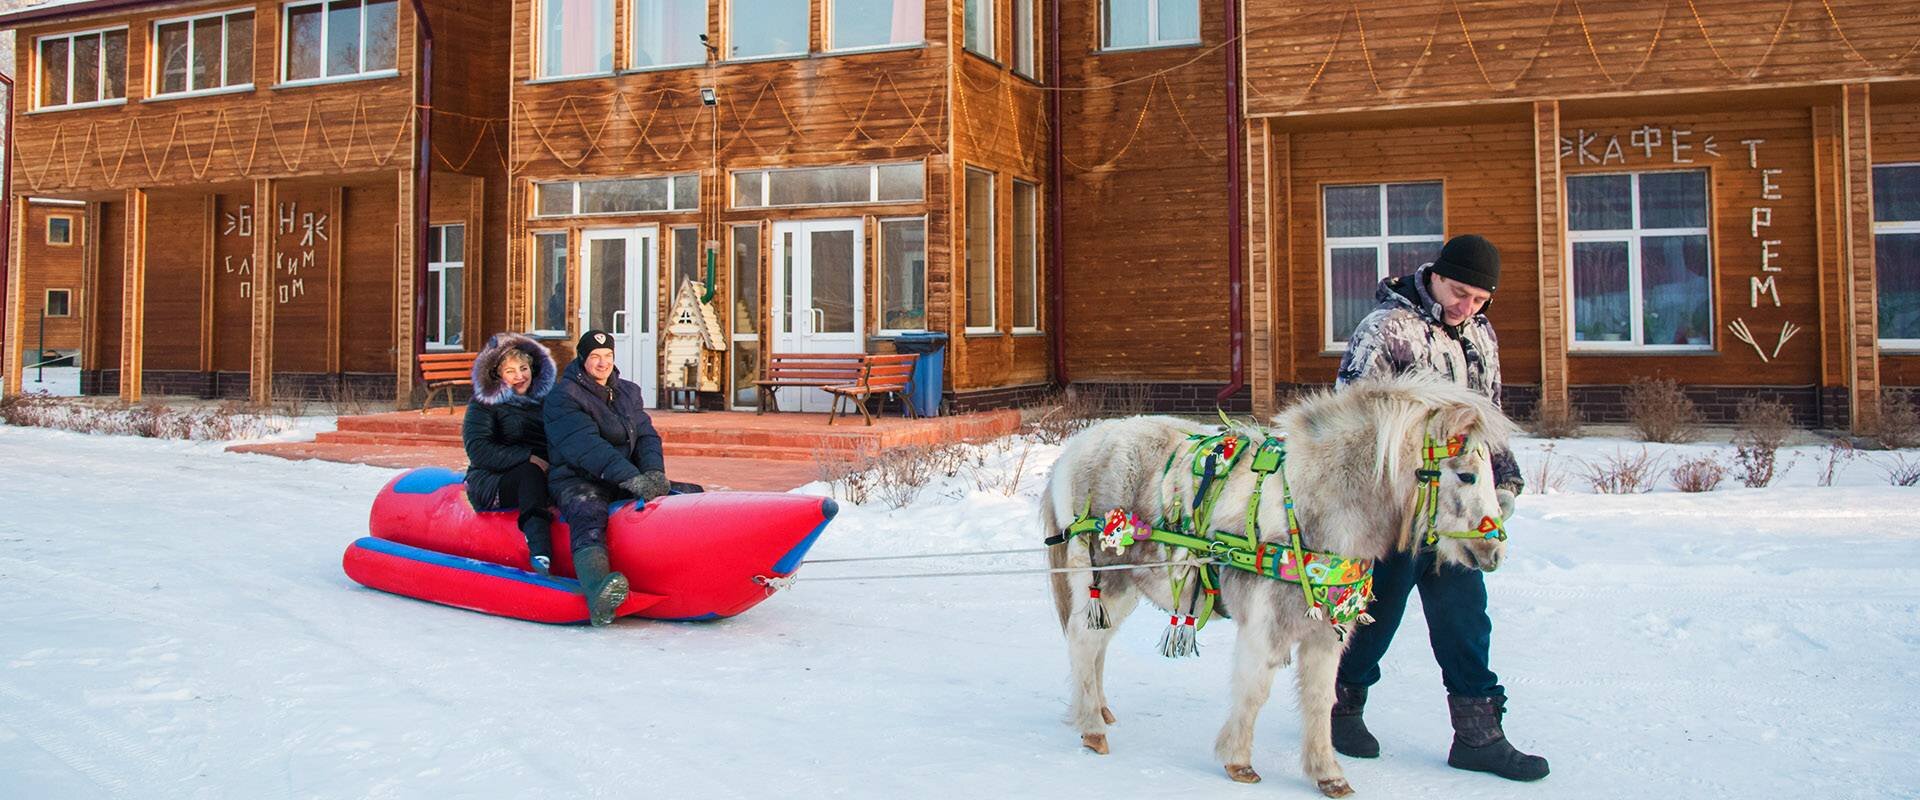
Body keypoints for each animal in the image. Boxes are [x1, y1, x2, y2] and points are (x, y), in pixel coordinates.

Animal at [1044, 372, 1520, 790]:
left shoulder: (1326, 633)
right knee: (1084, 640)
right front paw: (1238, 762)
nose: (1494, 552)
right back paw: (1092, 728)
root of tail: (1077, 449)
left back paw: (1098, 710)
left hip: (1122, 587)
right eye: (1466, 475)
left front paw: (1328, 774)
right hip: (1105, 579)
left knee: (1097, 644)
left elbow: (1319, 699)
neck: (1316, 506)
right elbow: (1254, 689)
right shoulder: (1264, 626)